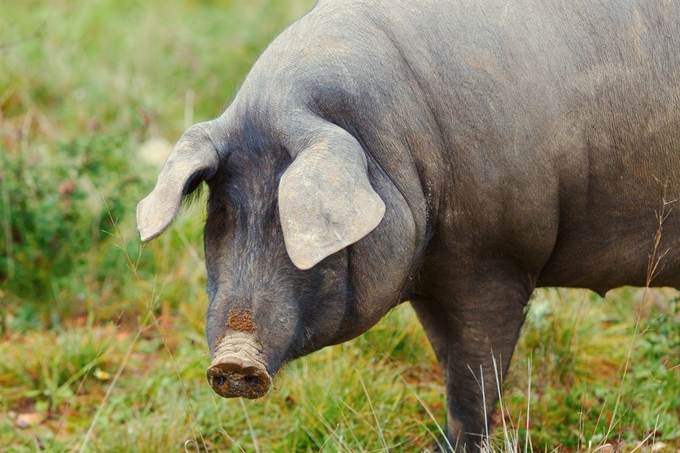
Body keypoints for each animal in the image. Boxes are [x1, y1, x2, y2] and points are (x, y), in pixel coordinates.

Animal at [134, 0, 680, 448]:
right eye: (220, 216)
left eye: (290, 223)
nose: (233, 360)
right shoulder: (435, 279)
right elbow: (448, 362)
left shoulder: (496, 263)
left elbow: (475, 380)